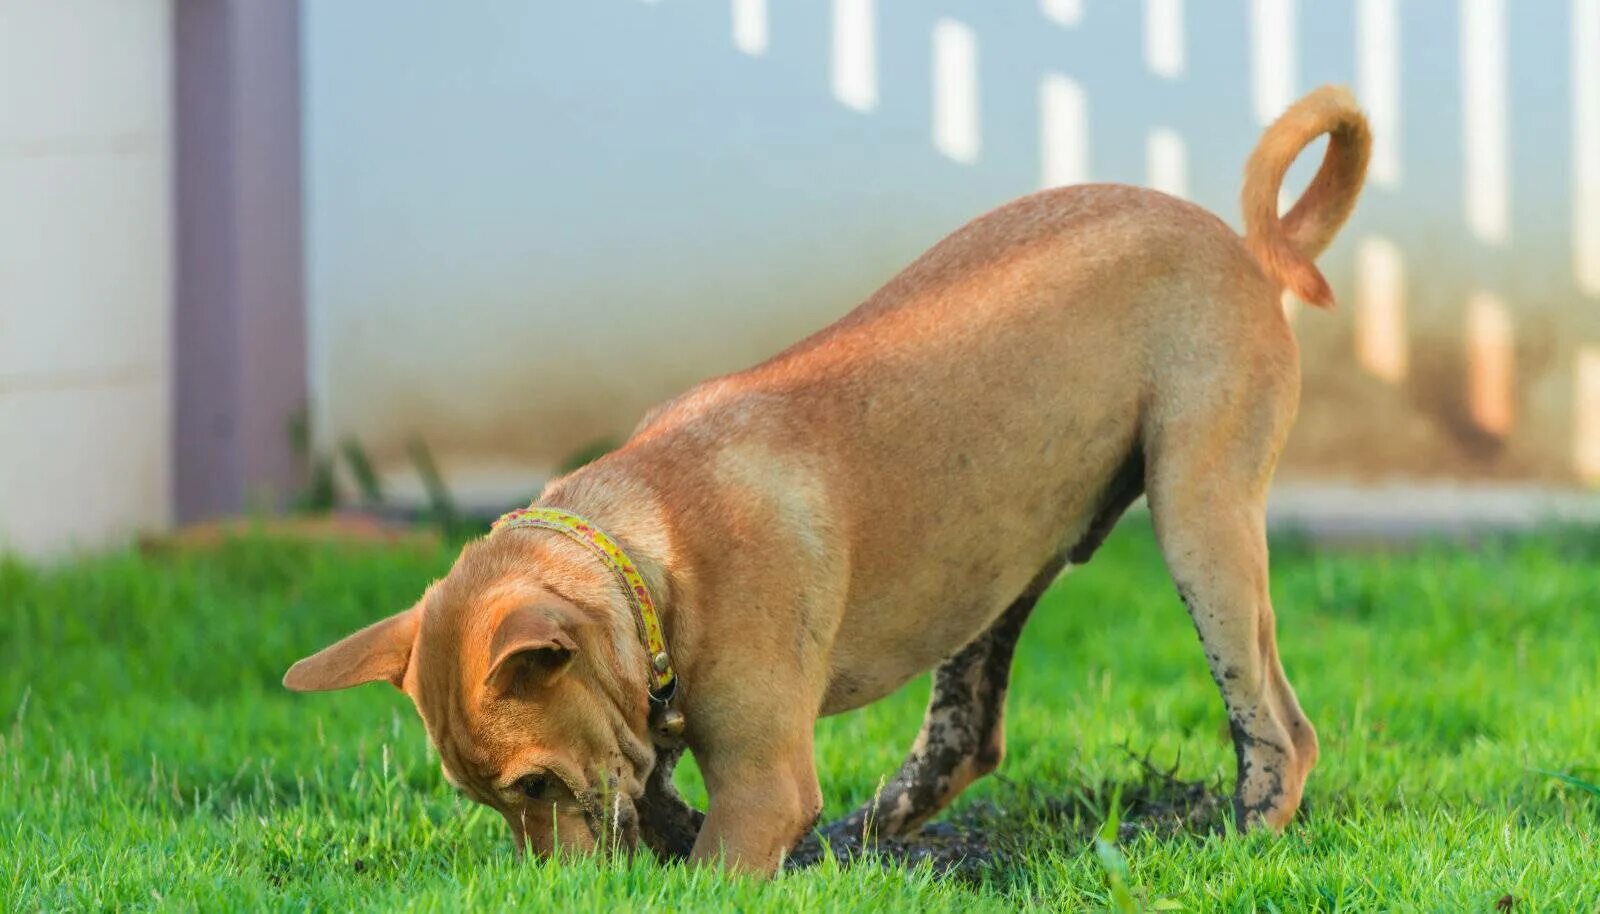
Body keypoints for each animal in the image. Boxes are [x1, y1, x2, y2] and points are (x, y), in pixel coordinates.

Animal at [281, 87, 1369, 877]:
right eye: (487, 799)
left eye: (537, 786)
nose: (549, 888)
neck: (646, 546)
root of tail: (1246, 248)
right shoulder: (653, 740)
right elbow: (660, 795)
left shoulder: (760, 788)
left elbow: (704, 861)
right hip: (1000, 566)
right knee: (966, 734)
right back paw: (870, 832)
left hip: (1201, 521)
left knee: (1277, 724)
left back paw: (1243, 835)